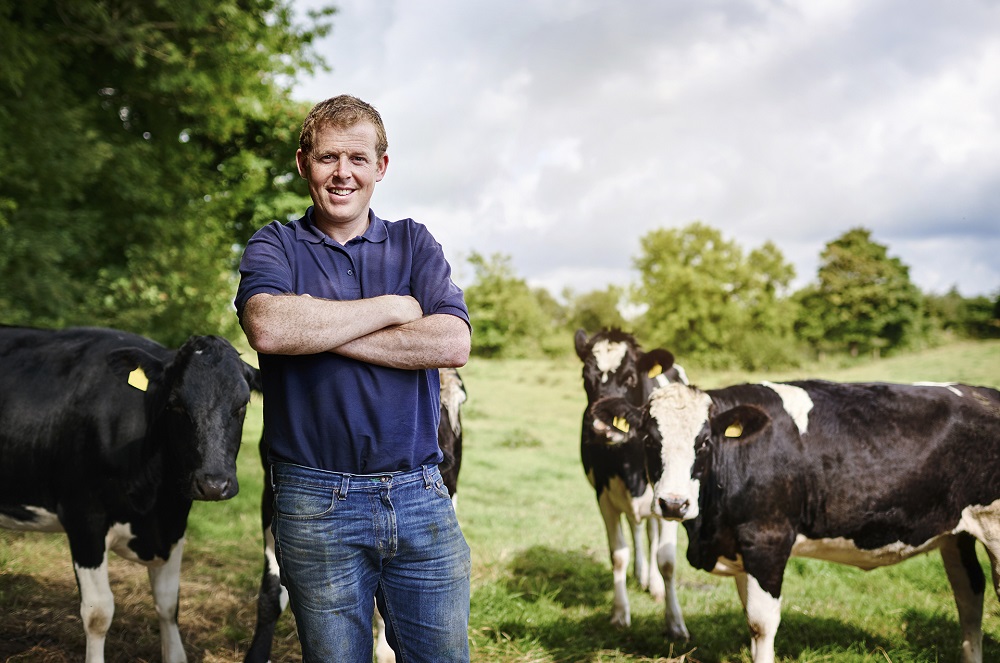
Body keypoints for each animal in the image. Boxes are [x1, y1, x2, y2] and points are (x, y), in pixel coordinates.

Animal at [0, 326, 258, 663]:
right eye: (175, 404)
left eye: (242, 405)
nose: (214, 483)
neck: (156, 503)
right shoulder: (83, 519)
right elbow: (98, 612)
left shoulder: (174, 527)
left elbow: (169, 603)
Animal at [576, 330, 692, 640]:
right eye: (586, 377)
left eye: (630, 377)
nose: (601, 428)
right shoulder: (604, 498)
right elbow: (618, 555)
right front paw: (619, 613)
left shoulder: (670, 500)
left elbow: (667, 560)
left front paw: (675, 622)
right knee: (638, 530)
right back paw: (642, 574)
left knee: (651, 536)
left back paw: (653, 583)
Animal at [592, 378, 1000, 663]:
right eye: (649, 440)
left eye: (704, 442)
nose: (674, 504)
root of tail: (984, 392)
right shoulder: (741, 548)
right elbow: (749, 618)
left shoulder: (767, 541)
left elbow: (761, 623)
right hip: (955, 532)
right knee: (969, 593)